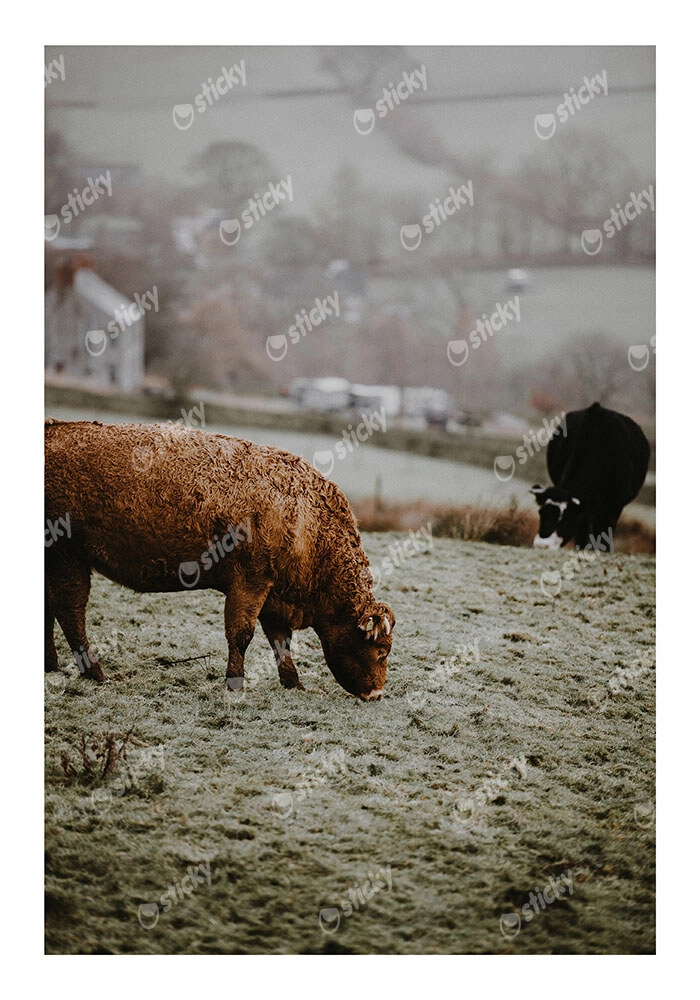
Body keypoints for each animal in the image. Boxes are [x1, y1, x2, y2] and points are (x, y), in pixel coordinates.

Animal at [45, 420, 394, 700]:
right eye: (381, 649)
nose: (377, 693)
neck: (306, 519)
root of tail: (56, 427)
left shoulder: (273, 596)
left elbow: (280, 642)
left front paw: (293, 682)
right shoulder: (250, 582)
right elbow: (241, 635)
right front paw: (235, 683)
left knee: (50, 607)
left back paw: (51, 665)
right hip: (67, 556)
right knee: (70, 611)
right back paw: (96, 673)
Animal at [530, 402, 650, 552]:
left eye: (566, 519)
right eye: (541, 512)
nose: (542, 545)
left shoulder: (613, 507)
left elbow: (605, 533)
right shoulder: (584, 510)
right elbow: (582, 531)